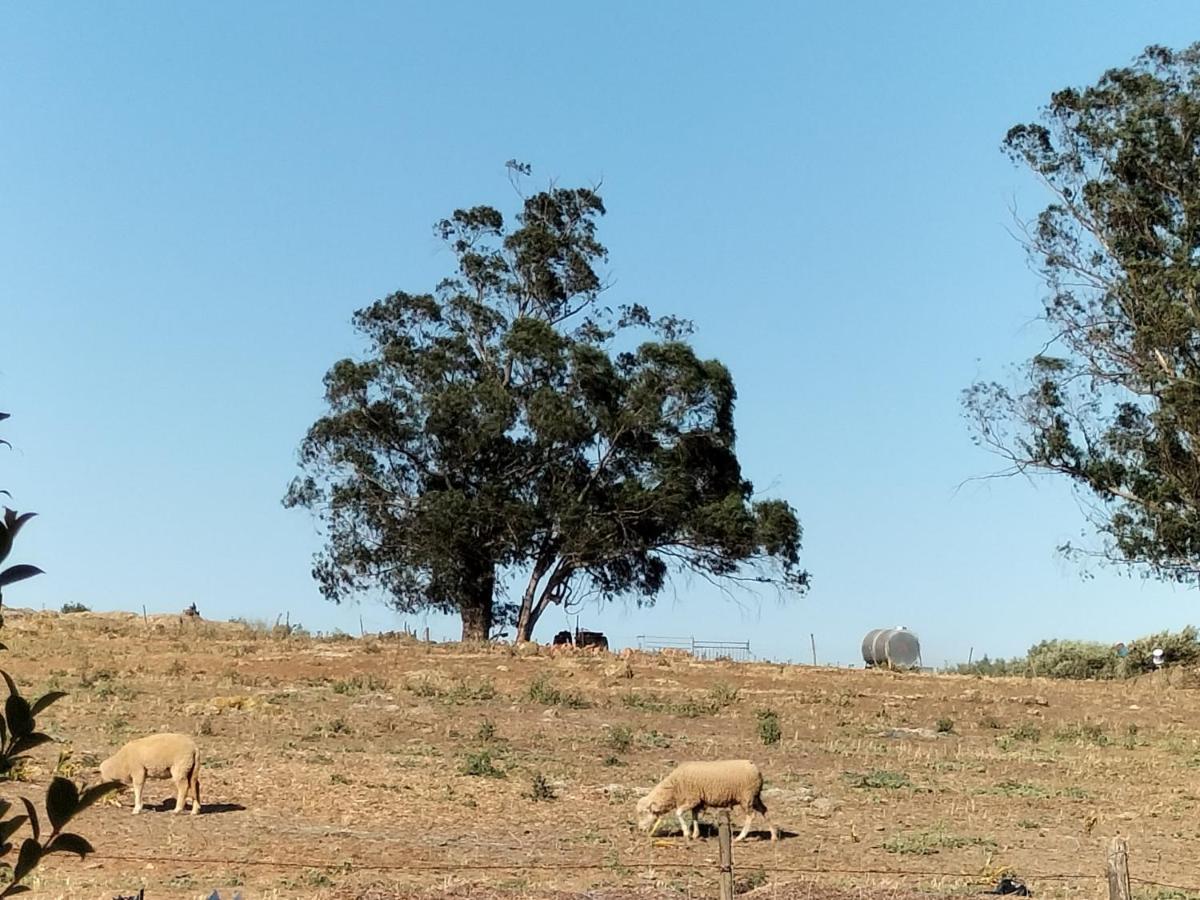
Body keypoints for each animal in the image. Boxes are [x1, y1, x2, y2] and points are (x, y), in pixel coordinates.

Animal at [638, 763, 777, 844]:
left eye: (643, 813)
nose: (640, 828)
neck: (674, 787)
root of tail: (756, 769)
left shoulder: (692, 798)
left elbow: (678, 813)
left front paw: (687, 834)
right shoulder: (697, 801)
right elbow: (694, 816)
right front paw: (695, 834)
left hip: (746, 797)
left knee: (751, 815)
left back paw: (740, 837)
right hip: (755, 797)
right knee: (764, 810)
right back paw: (773, 836)